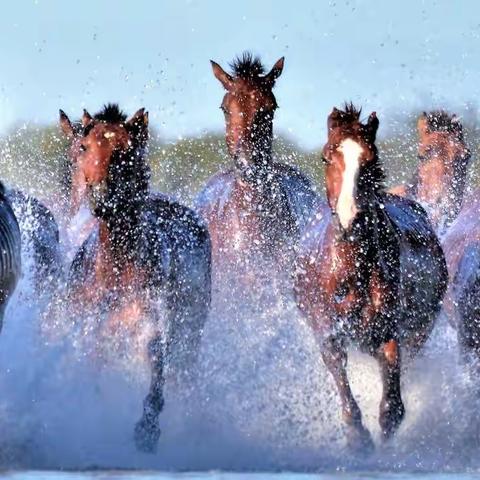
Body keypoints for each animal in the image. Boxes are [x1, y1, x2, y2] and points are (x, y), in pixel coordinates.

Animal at [66, 103, 212, 452]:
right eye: (84, 147)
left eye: (125, 150)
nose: (101, 198)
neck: (116, 272)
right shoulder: (91, 329)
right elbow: (93, 365)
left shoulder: (150, 323)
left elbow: (156, 358)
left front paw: (147, 429)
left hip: (191, 329)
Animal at [294, 104, 448, 450]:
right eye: (326, 157)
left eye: (370, 159)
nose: (350, 218)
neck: (352, 271)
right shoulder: (327, 331)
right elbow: (339, 370)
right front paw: (357, 438)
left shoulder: (388, 331)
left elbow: (392, 398)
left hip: (421, 328)